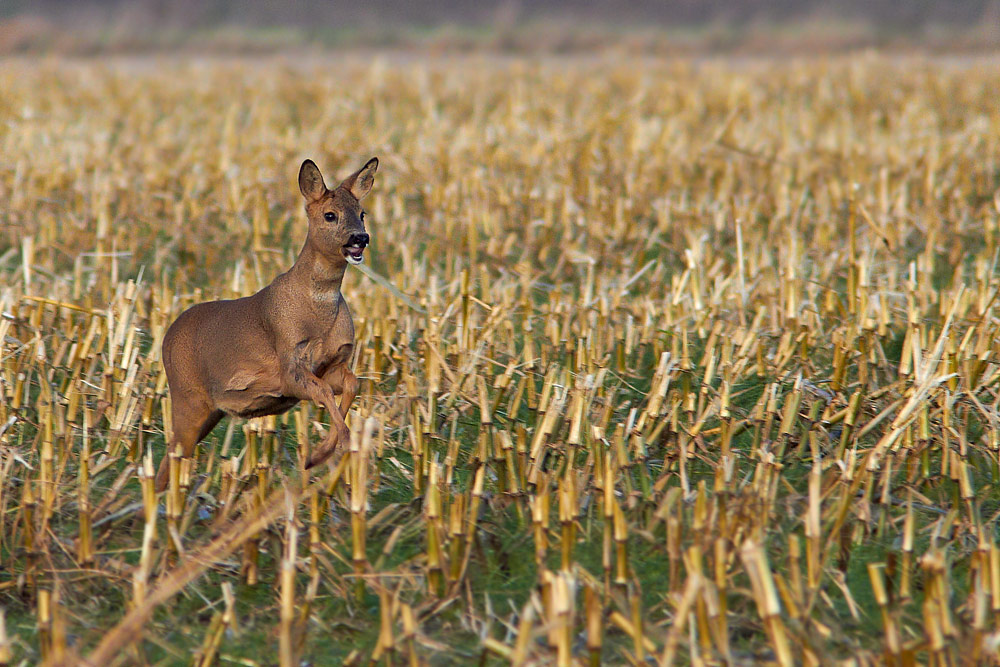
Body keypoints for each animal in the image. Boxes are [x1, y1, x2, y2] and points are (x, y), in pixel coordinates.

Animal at [156, 157, 378, 490]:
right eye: (330, 214)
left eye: (362, 213)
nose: (360, 238)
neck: (317, 311)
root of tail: (166, 338)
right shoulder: (290, 362)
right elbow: (325, 392)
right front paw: (332, 450)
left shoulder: (332, 364)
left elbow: (352, 383)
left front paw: (321, 454)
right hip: (187, 397)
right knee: (170, 457)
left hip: (208, 412)